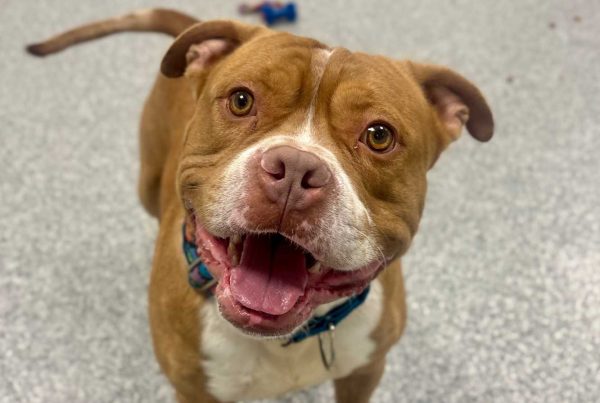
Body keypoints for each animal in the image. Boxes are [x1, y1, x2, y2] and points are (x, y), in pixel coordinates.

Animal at [27, 8, 494, 402]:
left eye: (379, 135)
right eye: (241, 100)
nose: (295, 170)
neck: (288, 339)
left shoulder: (364, 372)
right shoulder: (194, 391)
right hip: (147, 179)